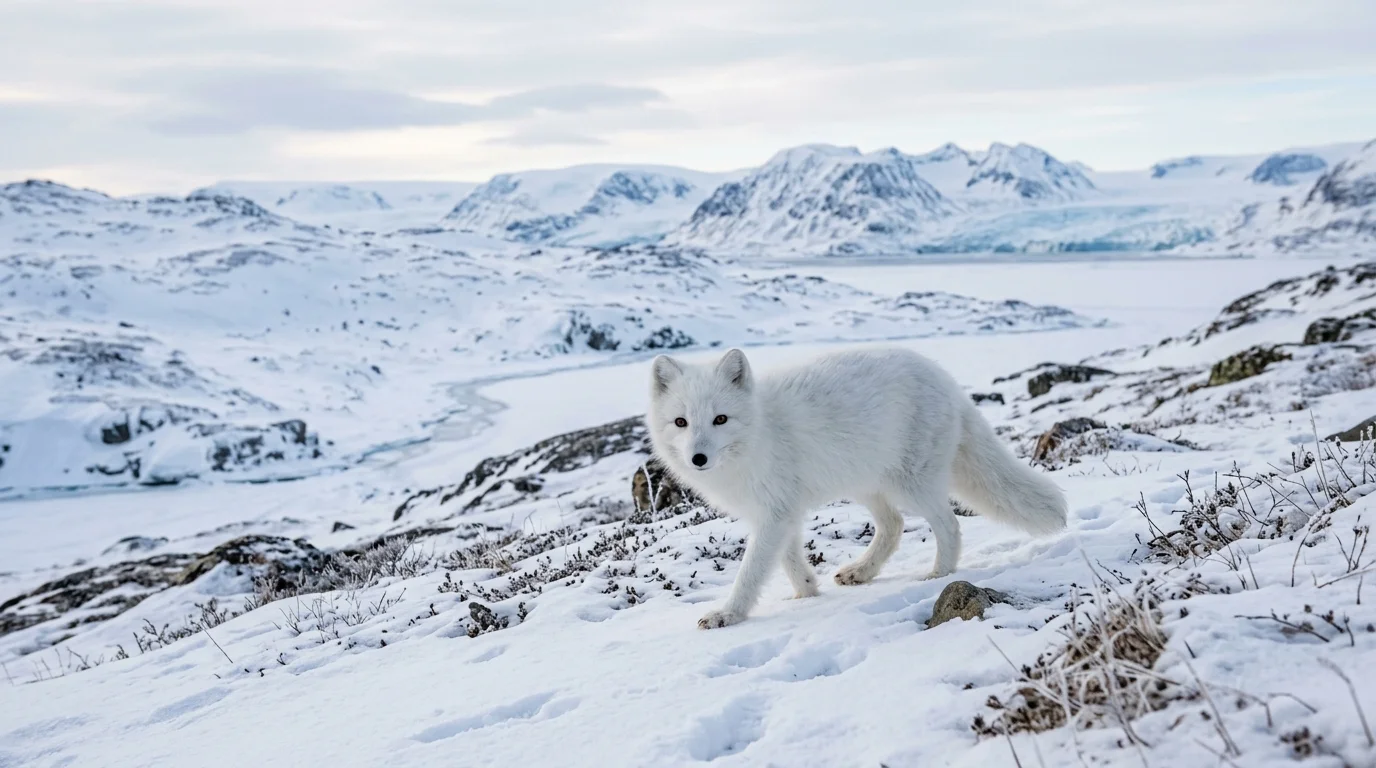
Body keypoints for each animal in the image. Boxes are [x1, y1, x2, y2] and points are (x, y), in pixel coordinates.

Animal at [647, 346, 1068, 629]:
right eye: (681, 422)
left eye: (720, 419)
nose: (698, 458)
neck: (760, 431)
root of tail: (946, 380)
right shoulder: (780, 513)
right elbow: (789, 560)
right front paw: (806, 593)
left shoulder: (774, 514)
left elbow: (751, 571)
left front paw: (729, 613)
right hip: (868, 484)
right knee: (894, 526)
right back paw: (862, 572)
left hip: (911, 485)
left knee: (949, 525)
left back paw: (938, 574)